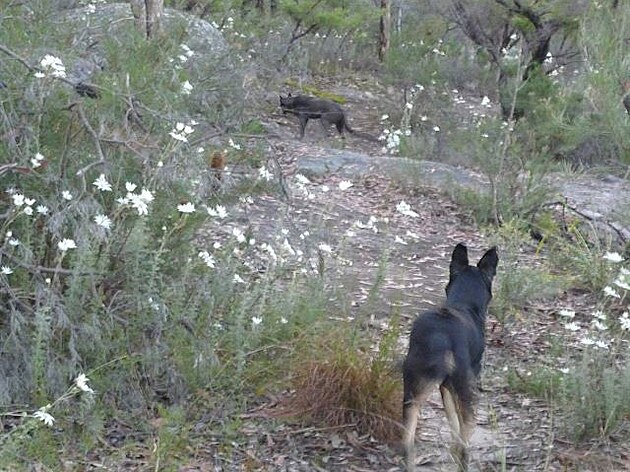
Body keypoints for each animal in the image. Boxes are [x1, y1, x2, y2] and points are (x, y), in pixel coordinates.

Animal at [402, 245, 502, 470]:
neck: (463, 303)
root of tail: (439, 337)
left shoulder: (444, 386)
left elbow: (451, 419)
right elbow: (457, 427)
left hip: (411, 393)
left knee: (407, 442)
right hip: (469, 393)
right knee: (465, 445)